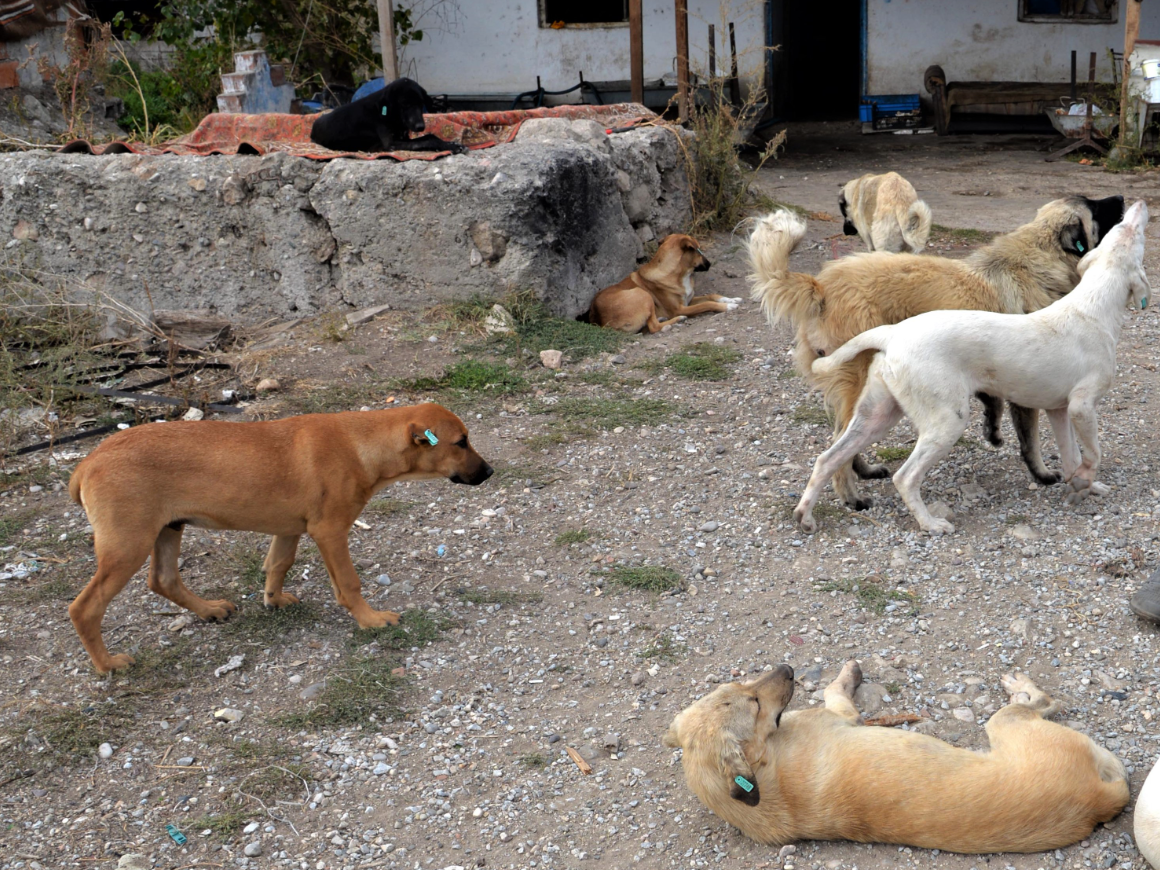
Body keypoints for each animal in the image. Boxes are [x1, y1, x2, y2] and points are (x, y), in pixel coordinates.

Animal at [66, 401, 494, 672]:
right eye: (461, 442)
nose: (490, 472)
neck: (360, 444)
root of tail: (88, 463)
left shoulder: (289, 530)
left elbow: (278, 564)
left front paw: (273, 600)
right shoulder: (330, 532)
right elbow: (349, 583)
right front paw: (370, 619)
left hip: (168, 529)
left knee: (164, 580)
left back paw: (209, 610)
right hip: (128, 545)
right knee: (85, 607)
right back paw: (108, 665)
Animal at [313, 75, 470, 154]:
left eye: (420, 103)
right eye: (405, 104)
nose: (420, 127)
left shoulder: (404, 137)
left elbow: (428, 136)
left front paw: (452, 144)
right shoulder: (390, 144)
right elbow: (428, 139)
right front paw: (451, 146)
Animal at [584, 232, 737, 334]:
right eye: (698, 250)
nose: (710, 264)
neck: (678, 275)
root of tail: (599, 321)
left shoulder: (688, 300)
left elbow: (711, 295)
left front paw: (731, 299)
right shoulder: (679, 308)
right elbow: (707, 304)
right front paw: (727, 306)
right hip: (642, 294)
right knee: (654, 327)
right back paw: (676, 320)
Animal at [668, 663, 1127, 853]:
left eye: (742, 685)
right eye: (755, 703)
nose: (787, 667)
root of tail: (1096, 801)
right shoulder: (842, 715)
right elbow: (835, 689)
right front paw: (849, 674)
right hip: (1006, 724)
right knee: (1042, 701)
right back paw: (1020, 687)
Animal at [788, 200, 1150, 535]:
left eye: (1124, 231)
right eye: (1133, 233)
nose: (1140, 205)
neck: (1091, 306)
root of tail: (892, 334)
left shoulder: (1059, 411)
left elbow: (1072, 456)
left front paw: (1085, 486)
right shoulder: (1081, 408)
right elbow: (1093, 453)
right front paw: (1086, 480)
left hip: (877, 416)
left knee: (828, 459)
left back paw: (806, 514)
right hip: (946, 421)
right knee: (905, 477)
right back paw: (930, 524)